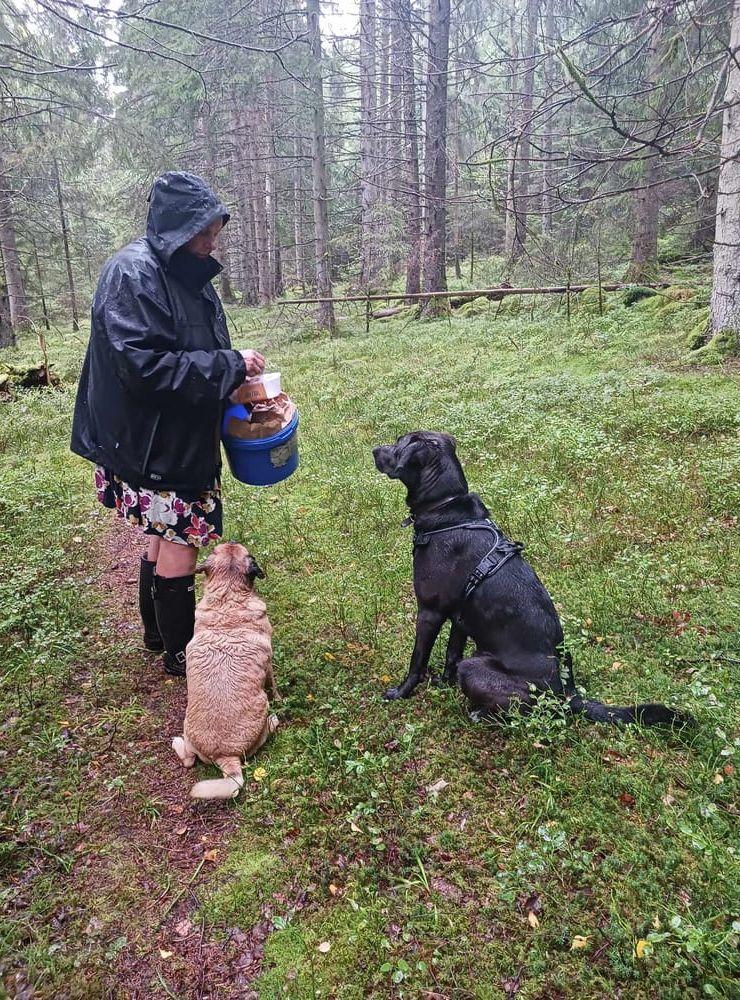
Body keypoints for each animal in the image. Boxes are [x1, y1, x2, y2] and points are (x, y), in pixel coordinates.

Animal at [172, 544, 278, 800]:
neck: (228, 597)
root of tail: (225, 758)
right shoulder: (269, 663)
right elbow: (274, 685)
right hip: (263, 708)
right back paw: (274, 720)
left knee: (188, 759)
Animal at [376, 430, 692, 728]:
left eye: (399, 443)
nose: (374, 450)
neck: (446, 508)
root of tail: (568, 695)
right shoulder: (459, 618)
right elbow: (451, 655)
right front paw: (443, 684)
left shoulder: (430, 611)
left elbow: (418, 660)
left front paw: (401, 692)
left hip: (476, 667)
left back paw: (481, 714)